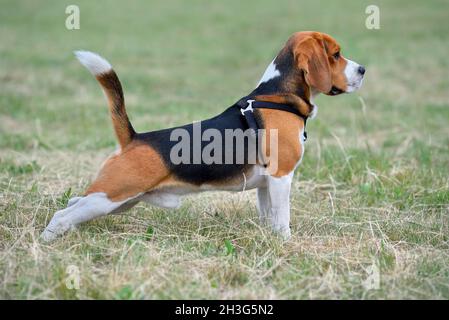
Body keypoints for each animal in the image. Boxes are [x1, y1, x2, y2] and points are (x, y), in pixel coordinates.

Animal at [41, 31, 364, 241]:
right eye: (335, 55)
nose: (362, 69)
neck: (277, 95)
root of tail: (133, 138)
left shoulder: (266, 184)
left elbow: (268, 215)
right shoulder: (282, 176)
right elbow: (282, 218)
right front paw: (286, 243)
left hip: (117, 200)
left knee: (73, 205)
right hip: (112, 195)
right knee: (61, 215)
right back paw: (47, 242)